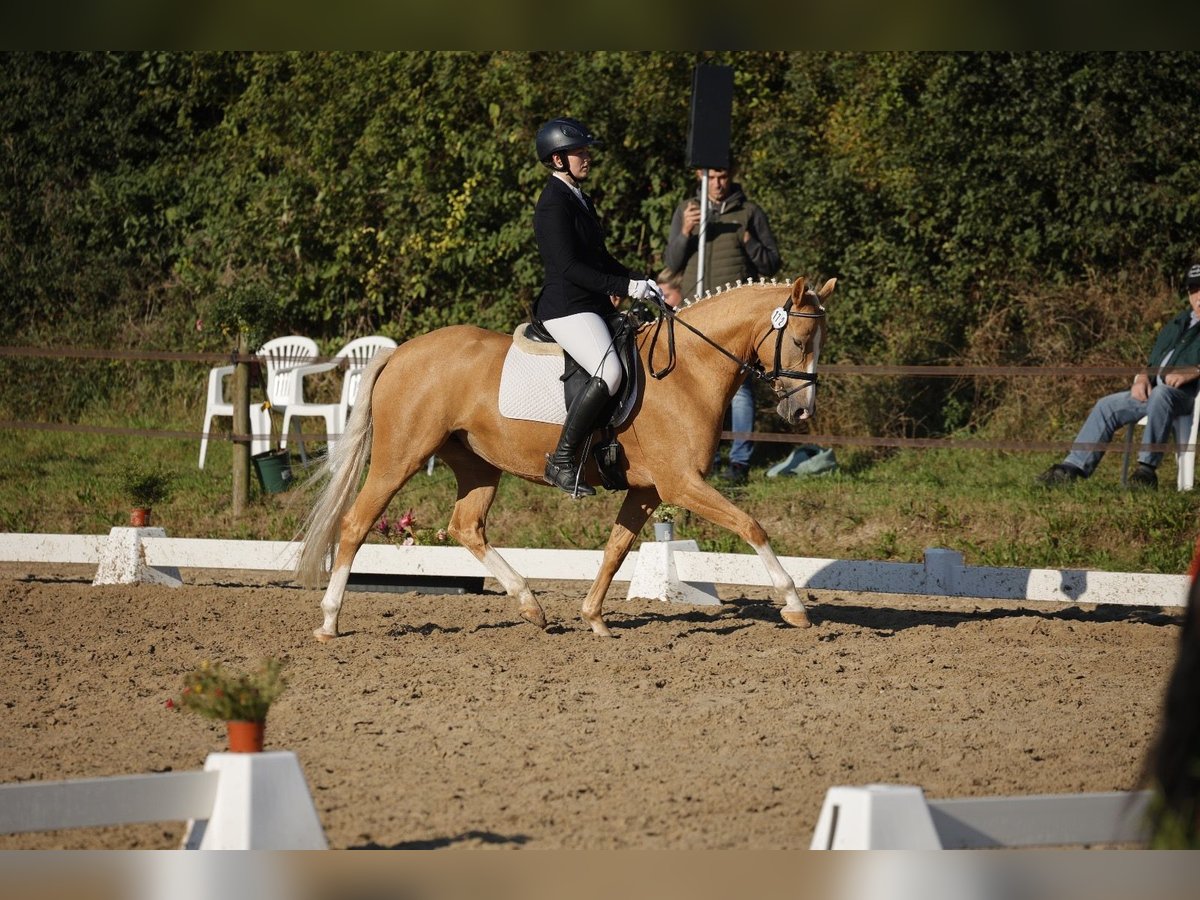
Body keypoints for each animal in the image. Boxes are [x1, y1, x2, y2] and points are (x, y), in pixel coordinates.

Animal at [295, 278, 830, 638]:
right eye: (799, 341)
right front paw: (793, 604)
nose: (802, 410)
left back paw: (530, 604)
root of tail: (402, 352)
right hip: (399, 457)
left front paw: (594, 618)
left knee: (466, 526)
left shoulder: (648, 489)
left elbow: (616, 549)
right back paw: (329, 620)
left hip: (477, 465)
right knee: (356, 524)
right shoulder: (680, 483)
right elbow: (751, 525)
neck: (688, 371)